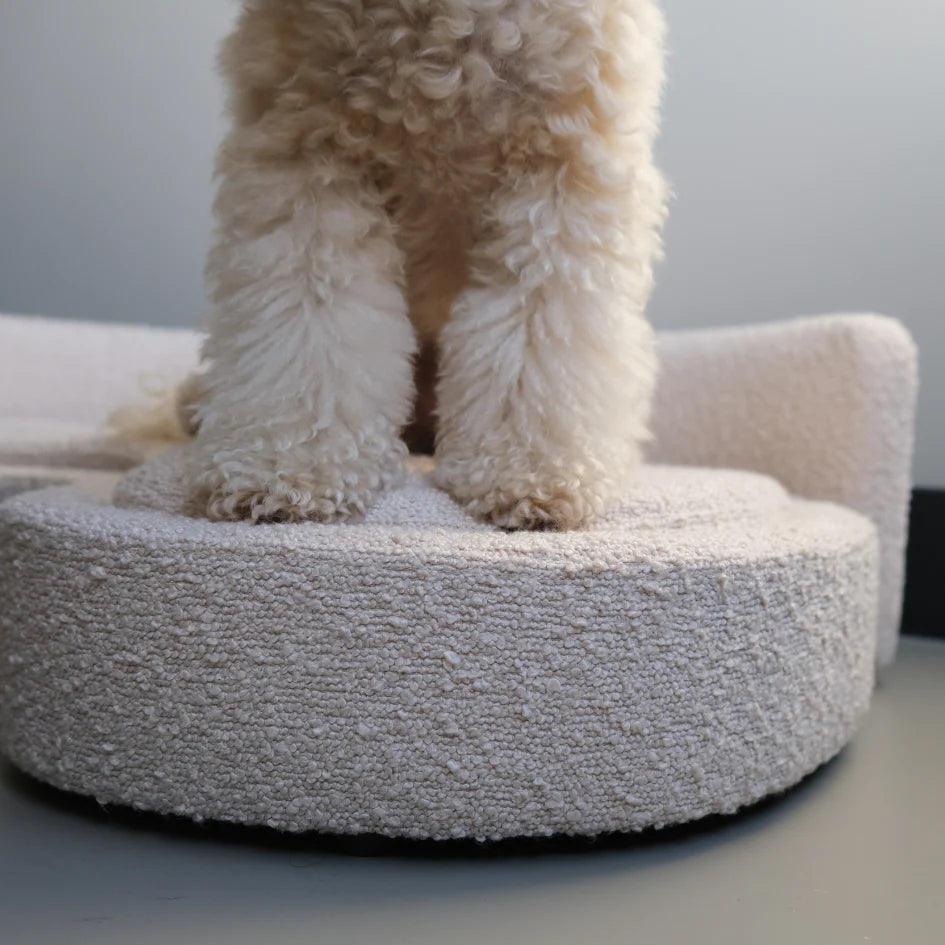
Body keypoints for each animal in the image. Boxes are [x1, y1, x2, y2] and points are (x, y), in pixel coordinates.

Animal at [188, 1, 668, 532]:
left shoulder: (562, 171)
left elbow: (540, 336)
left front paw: (530, 476)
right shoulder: (305, 160)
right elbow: (309, 330)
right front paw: (286, 471)